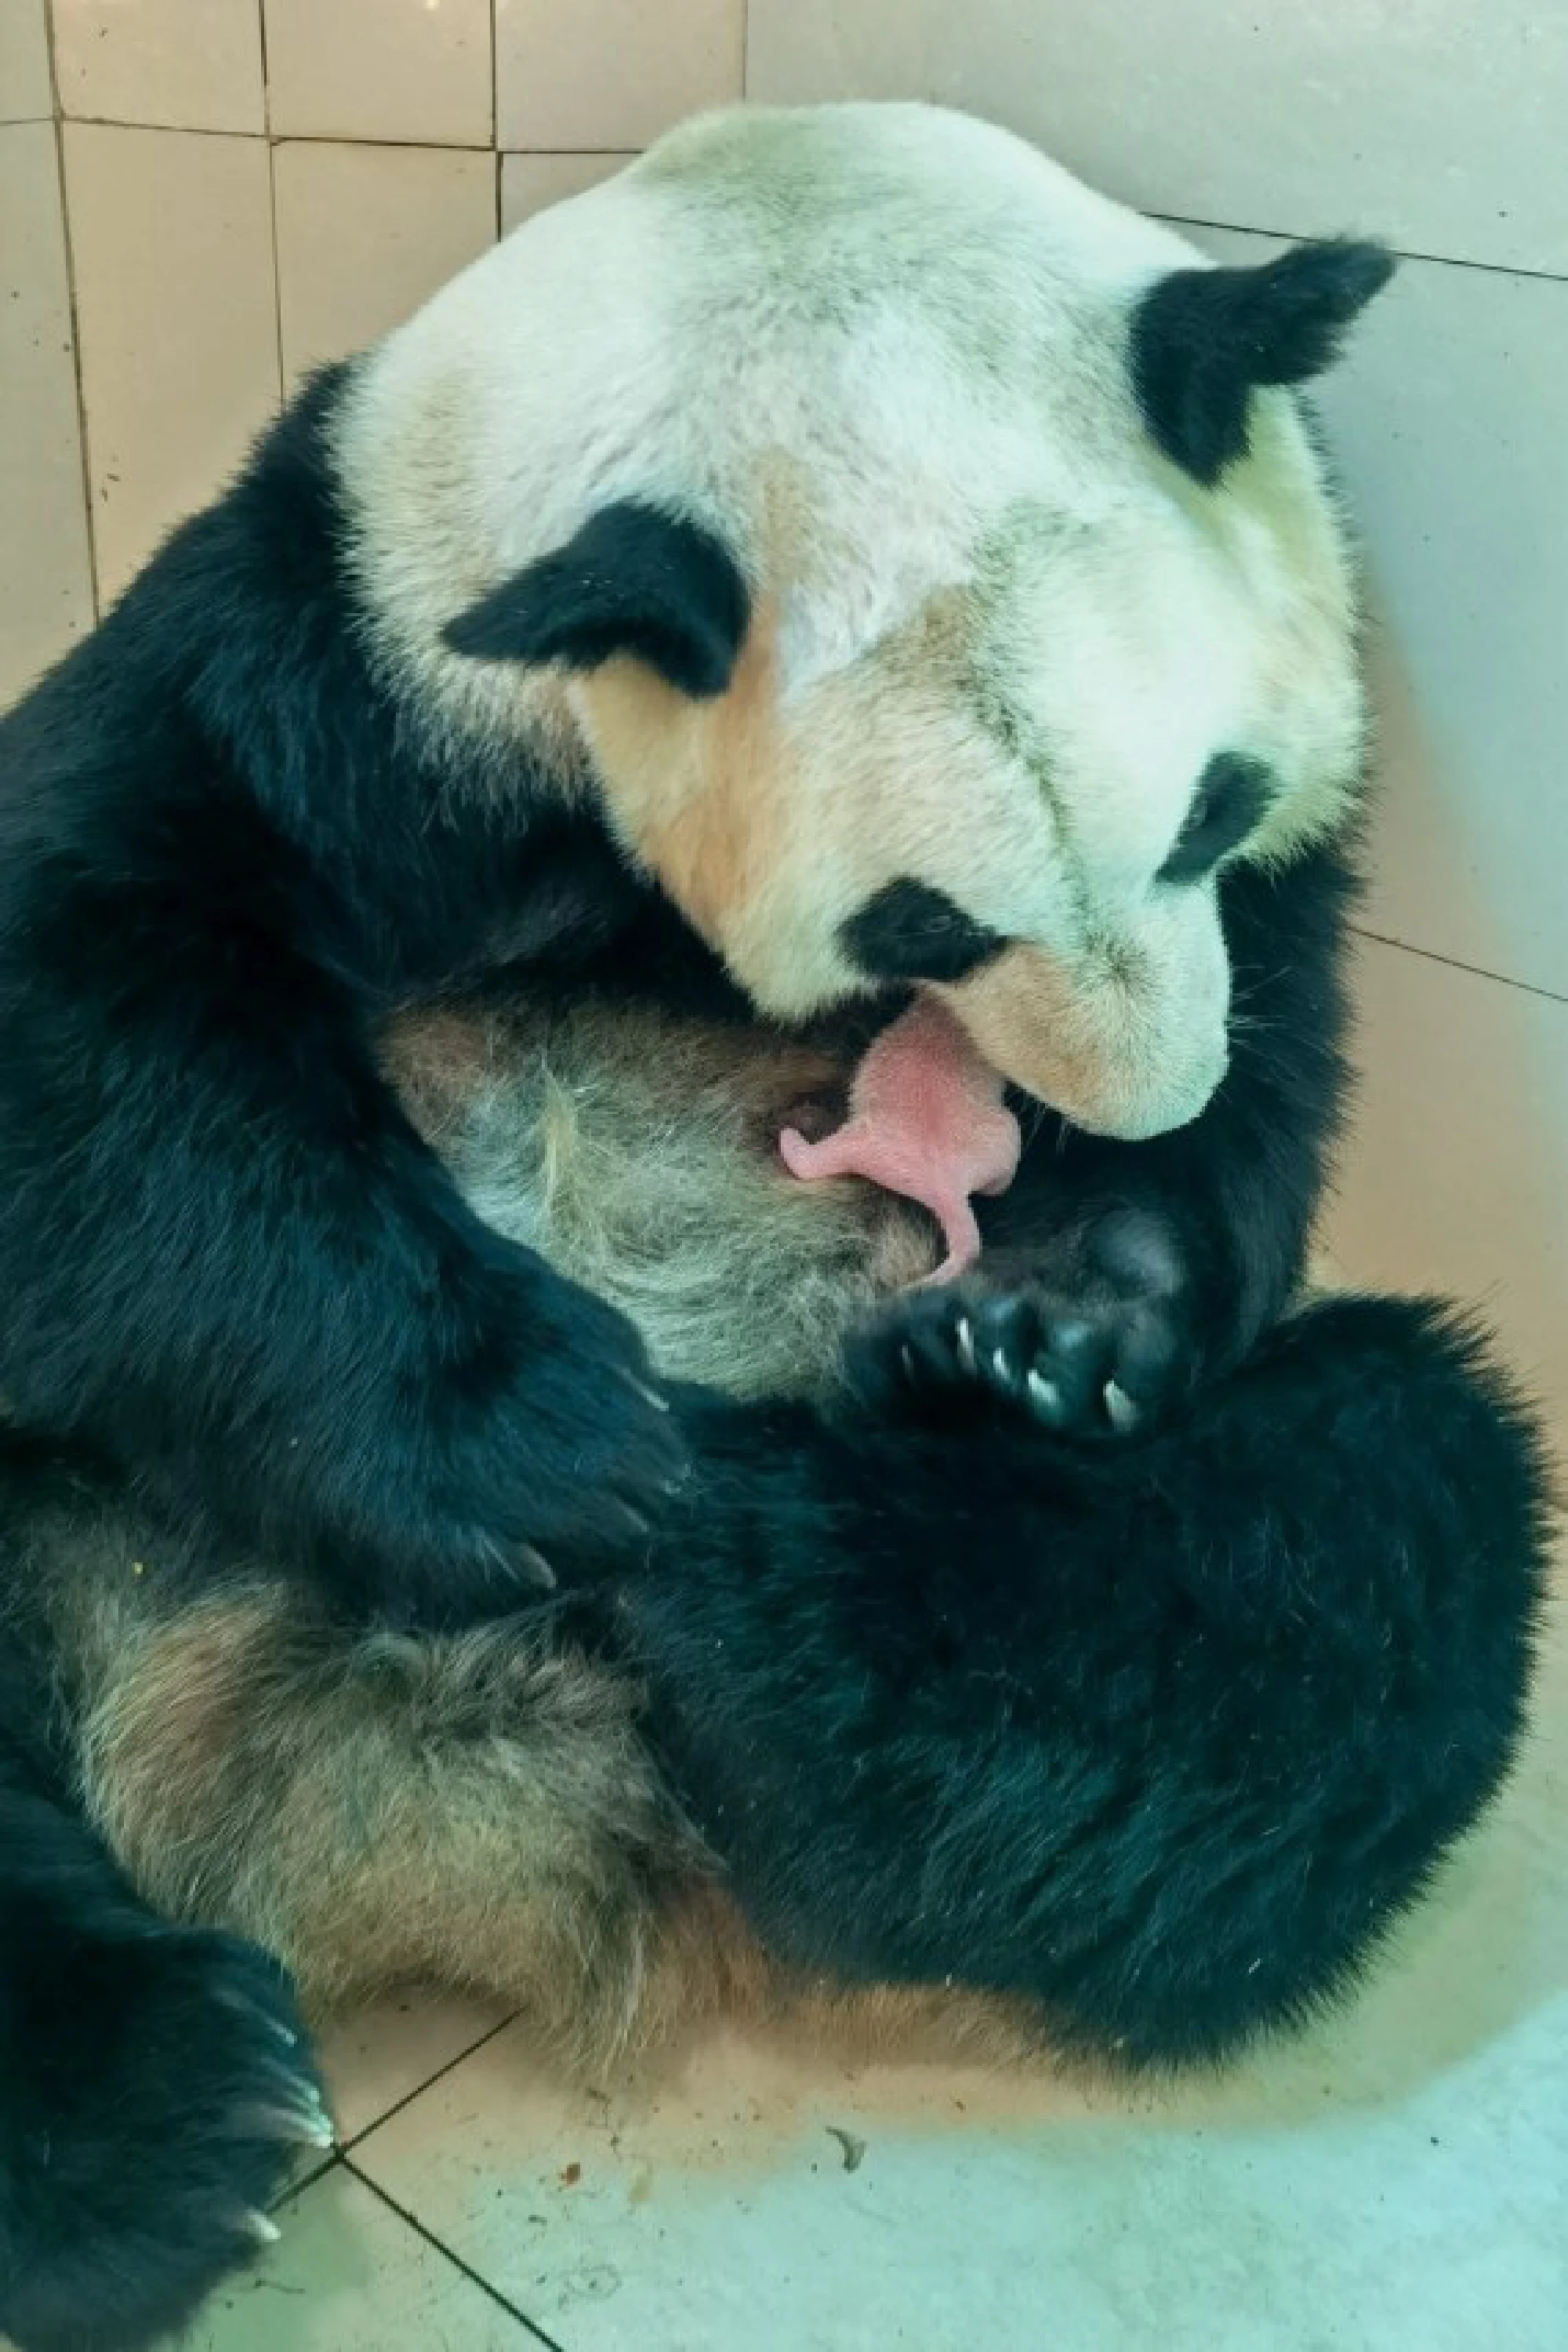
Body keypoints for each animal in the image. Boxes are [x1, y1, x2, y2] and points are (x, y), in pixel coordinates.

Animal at [0, 103, 1551, 2352]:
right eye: (928, 919)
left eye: (1205, 802)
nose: (1126, 1103)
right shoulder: (334, 644)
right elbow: (87, 946)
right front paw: (535, 1448)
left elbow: (1281, 1023)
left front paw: (1072, 1310)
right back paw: (166, 2121)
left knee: (1353, 1534)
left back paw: (776, 1563)